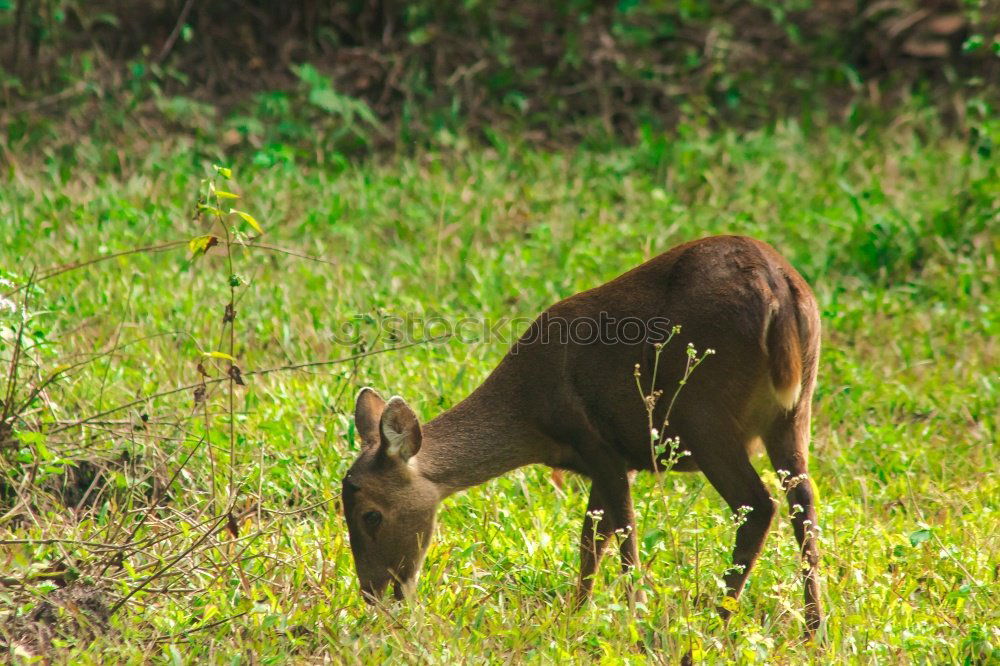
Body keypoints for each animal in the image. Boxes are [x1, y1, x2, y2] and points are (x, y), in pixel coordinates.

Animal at [340, 235, 824, 632]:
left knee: (758, 506)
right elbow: (593, 537)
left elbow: (616, 534)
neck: (530, 412)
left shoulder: (599, 444)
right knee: (804, 503)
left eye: (370, 515)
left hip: (704, 413)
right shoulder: (621, 459)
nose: (374, 595)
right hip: (795, 411)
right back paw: (813, 627)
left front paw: (632, 616)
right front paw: (577, 612)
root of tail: (778, 289)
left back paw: (719, 618)